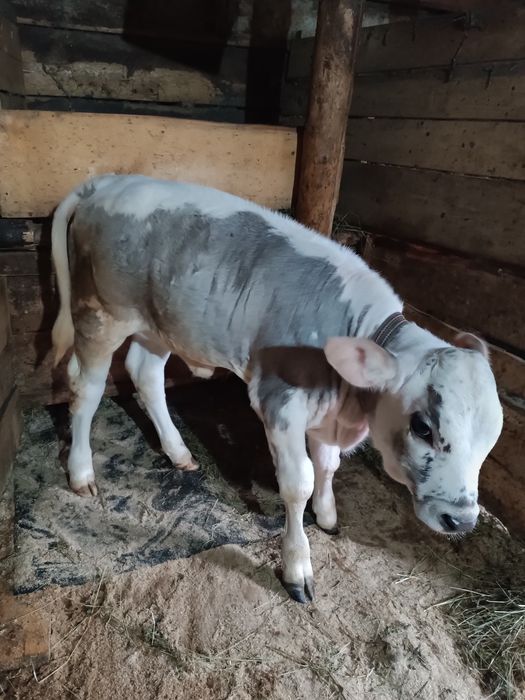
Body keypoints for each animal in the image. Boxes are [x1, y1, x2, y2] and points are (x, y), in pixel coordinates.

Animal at [51, 174, 503, 603]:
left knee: (144, 374)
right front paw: (297, 566)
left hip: (160, 324)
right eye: (423, 427)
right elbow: (299, 481)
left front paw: (327, 516)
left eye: (491, 438)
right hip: (100, 314)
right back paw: (81, 471)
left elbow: (328, 466)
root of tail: (110, 180)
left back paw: (178, 452)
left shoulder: (326, 412)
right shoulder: (279, 402)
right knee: (86, 386)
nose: (461, 520)